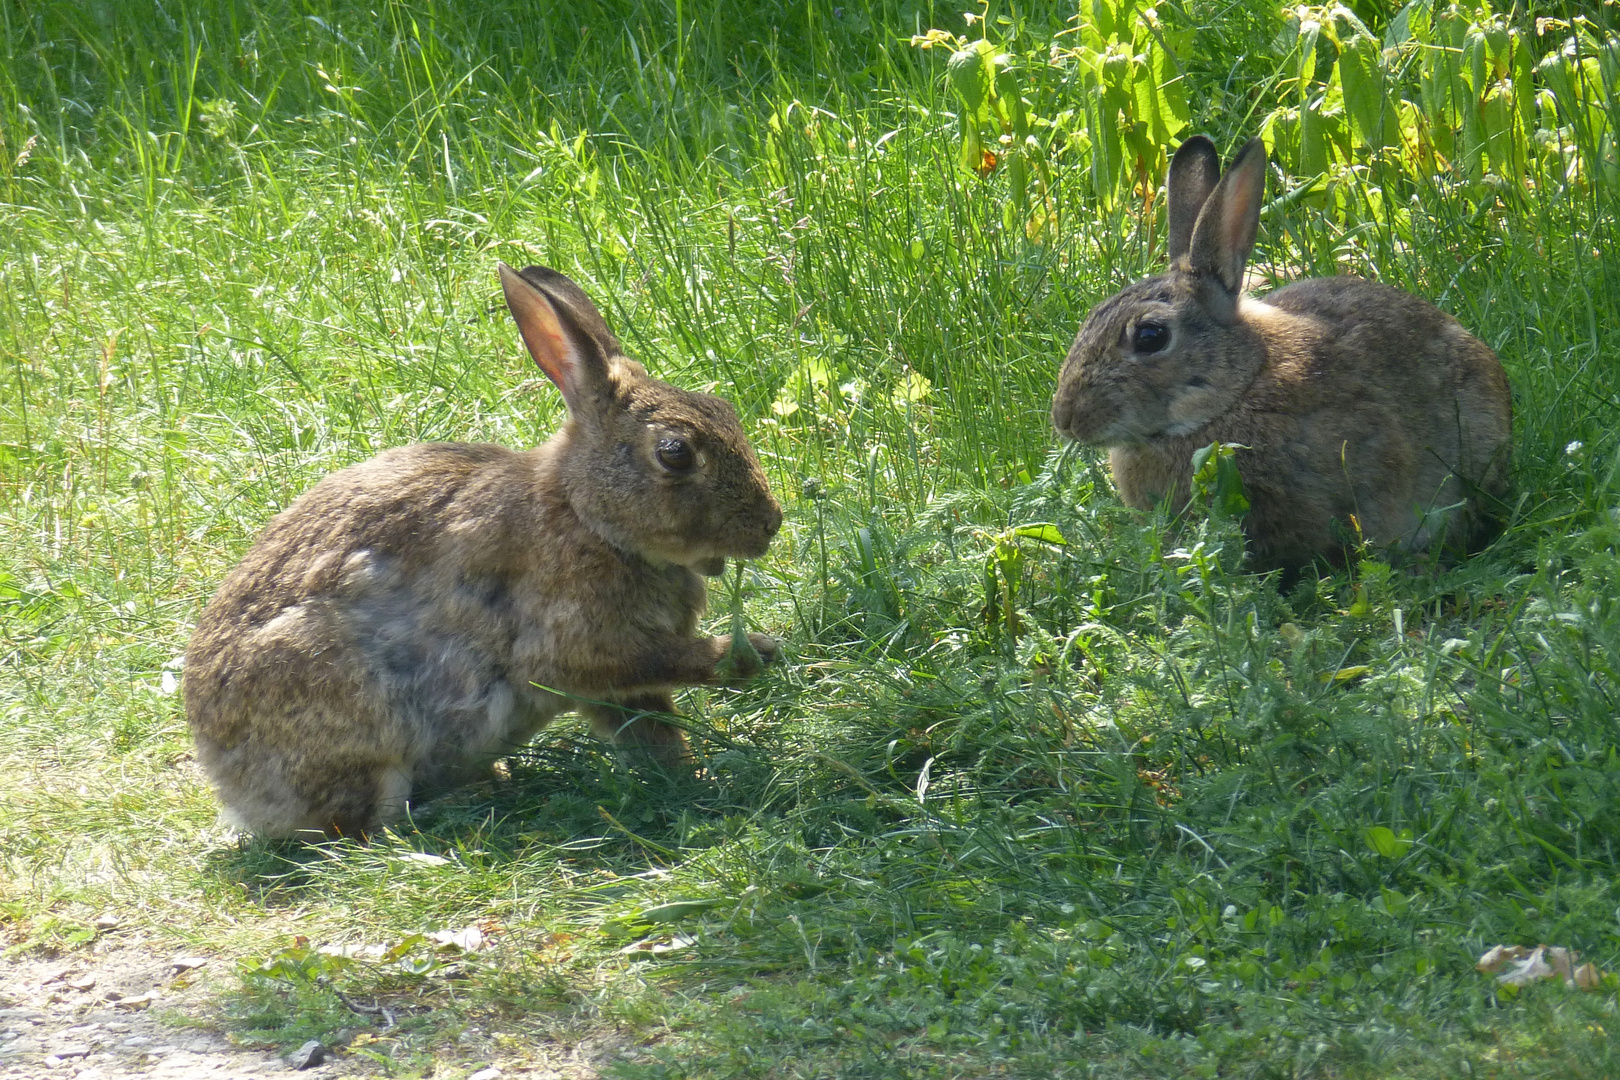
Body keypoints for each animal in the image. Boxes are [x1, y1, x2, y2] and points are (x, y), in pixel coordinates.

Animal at [183, 262, 784, 835]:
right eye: (675, 453)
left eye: (725, 409)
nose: (771, 523)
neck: (584, 515)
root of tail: (230, 784)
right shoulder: (580, 644)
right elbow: (641, 666)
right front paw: (750, 652)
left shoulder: (621, 688)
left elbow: (651, 731)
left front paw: (691, 777)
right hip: (350, 703)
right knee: (366, 826)